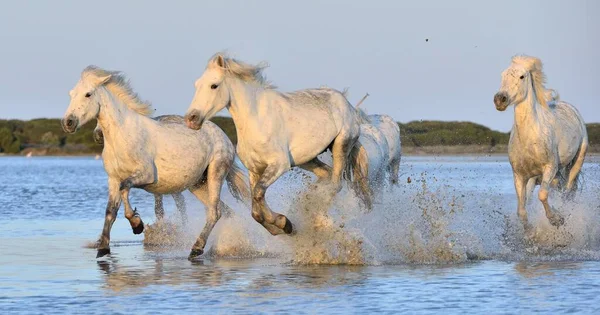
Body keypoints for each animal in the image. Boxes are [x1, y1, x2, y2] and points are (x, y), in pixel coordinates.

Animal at [64, 66, 252, 260]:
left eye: (88, 94)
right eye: (71, 94)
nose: (68, 122)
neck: (122, 135)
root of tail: (225, 137)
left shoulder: (145, 175)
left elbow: (125, 189)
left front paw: (137, 225)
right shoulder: (113, 179)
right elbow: (110, 211)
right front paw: (102, 249)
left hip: (216, 173)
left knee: (215, 212)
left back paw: (197, 248)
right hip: (198, 184)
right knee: (225, 212)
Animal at [183, 53, 360, 237]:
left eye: (214, 85)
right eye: (197, 84)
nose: (191, 119)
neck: (256, 120)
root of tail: (347, 103)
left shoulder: (279, 165)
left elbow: (258, 193)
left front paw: (283, 223)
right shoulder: (255, 169)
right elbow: (255, 210)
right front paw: (281, 226)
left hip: (341, 145)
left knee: (335, 184)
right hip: (308, 160)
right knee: (326, 175)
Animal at [494, 56, 588, 230]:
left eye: (522, 76)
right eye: (502, 75)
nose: (500, 100)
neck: (530, 137)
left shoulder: (550, 168)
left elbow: (543, 195)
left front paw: (557, 220)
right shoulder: (520, 175)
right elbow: (522, 210)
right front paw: (529, 230)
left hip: (576, 163)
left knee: (566, 192)